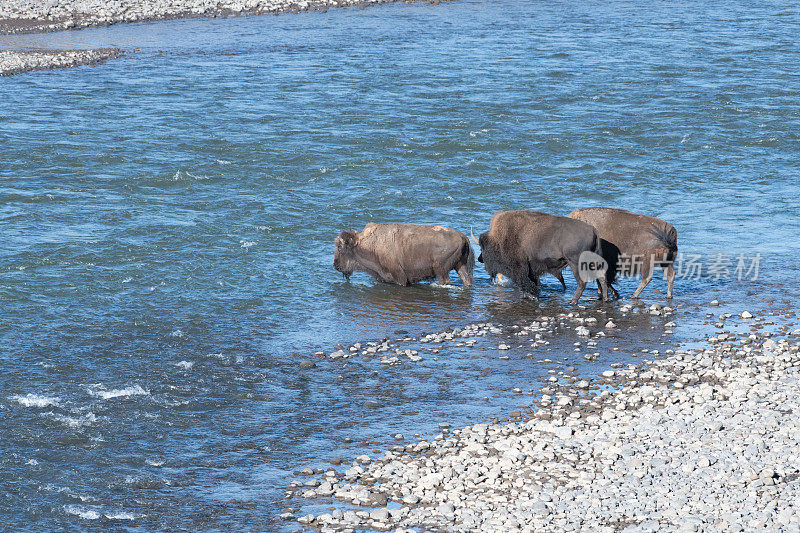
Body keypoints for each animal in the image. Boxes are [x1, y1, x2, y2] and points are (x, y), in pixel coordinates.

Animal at [332, 221, 472, 286]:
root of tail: (463, 237)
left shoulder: (399, 276)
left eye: (340, 248)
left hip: (440, 268)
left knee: (445, 280)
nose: (335, 265)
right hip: (461, 266)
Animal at [472, 211, 608, 304]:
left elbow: (525, 282)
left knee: (581, 282)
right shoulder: (531, 270)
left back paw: (572, 301)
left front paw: (532, 296)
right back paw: (605, 299)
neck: (501, 239)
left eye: (483, 248)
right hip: (593, 262)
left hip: (575, 263)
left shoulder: (521, 268)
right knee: (602, 278)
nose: (479, 259)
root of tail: (594, 231)